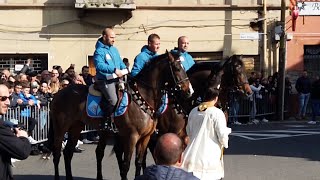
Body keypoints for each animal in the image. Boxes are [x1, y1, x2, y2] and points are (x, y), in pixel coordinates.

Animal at [45, 50, 192, 180]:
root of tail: (57, 94)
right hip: (61, 128)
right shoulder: (131, 137)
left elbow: (138, 162)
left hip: (76, 127)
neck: (142, 97)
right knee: (57, 153)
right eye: (177, 68)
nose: (189, 91)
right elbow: (126, 165)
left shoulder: (145, 137)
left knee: (68, 152)